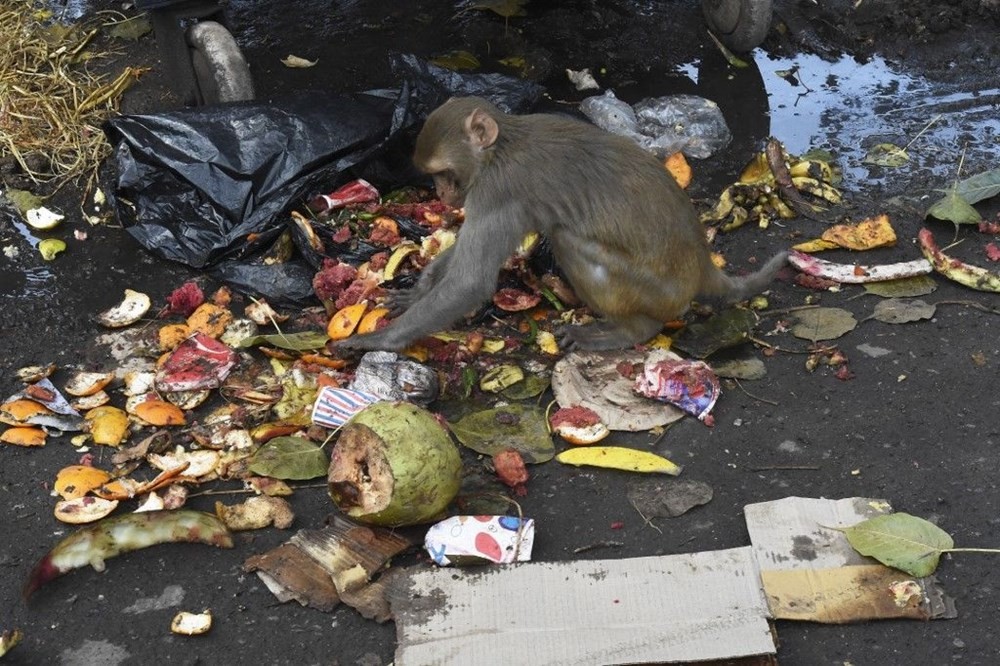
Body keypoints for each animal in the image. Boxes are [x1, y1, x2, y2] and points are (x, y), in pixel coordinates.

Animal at [340, 96, 784, 352]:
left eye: (445, 174)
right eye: (434, 177)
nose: (442, 194)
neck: (499, 149)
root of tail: (705, 265)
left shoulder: (497, 189)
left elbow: (470, 281)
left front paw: (378, 340)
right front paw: (418, 292)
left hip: (657, 290)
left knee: (569, 239)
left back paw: (632, 332)